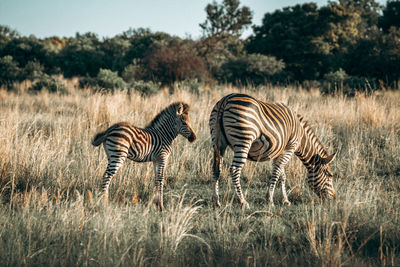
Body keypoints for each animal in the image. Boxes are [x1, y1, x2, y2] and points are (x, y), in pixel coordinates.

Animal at [209, 94, 338, 209]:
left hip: (217, 142)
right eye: (330, 175)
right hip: (243, 140)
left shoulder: (279, 151)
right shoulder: (290, 147)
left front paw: (285, 200)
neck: (301, 136)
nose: (334, 199)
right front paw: (270, 199)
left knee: (216, 168)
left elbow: (282, 175)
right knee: (235, 170)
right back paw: (242, 202)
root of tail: (225, 100)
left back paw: (216, 201)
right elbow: (277, 172)